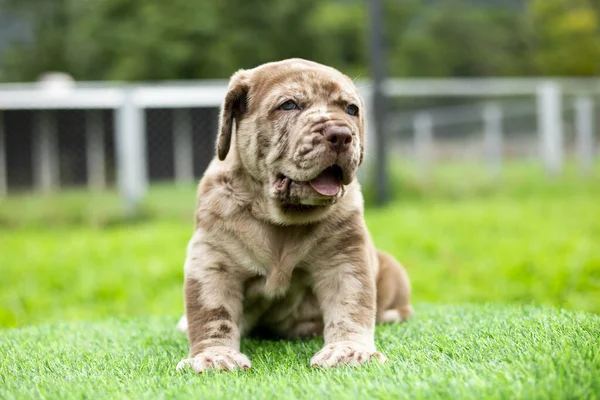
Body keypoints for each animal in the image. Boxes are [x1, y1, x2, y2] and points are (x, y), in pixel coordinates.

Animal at [176, 57, 414, 374]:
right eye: (289, 105)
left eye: (351, 110)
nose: (341, 135)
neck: (282, 218)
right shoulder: (212, 262)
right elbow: (211, 314)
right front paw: (214, 355)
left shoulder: (345, 258)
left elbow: (351, 306)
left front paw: (349, 351)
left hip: (393, 270)